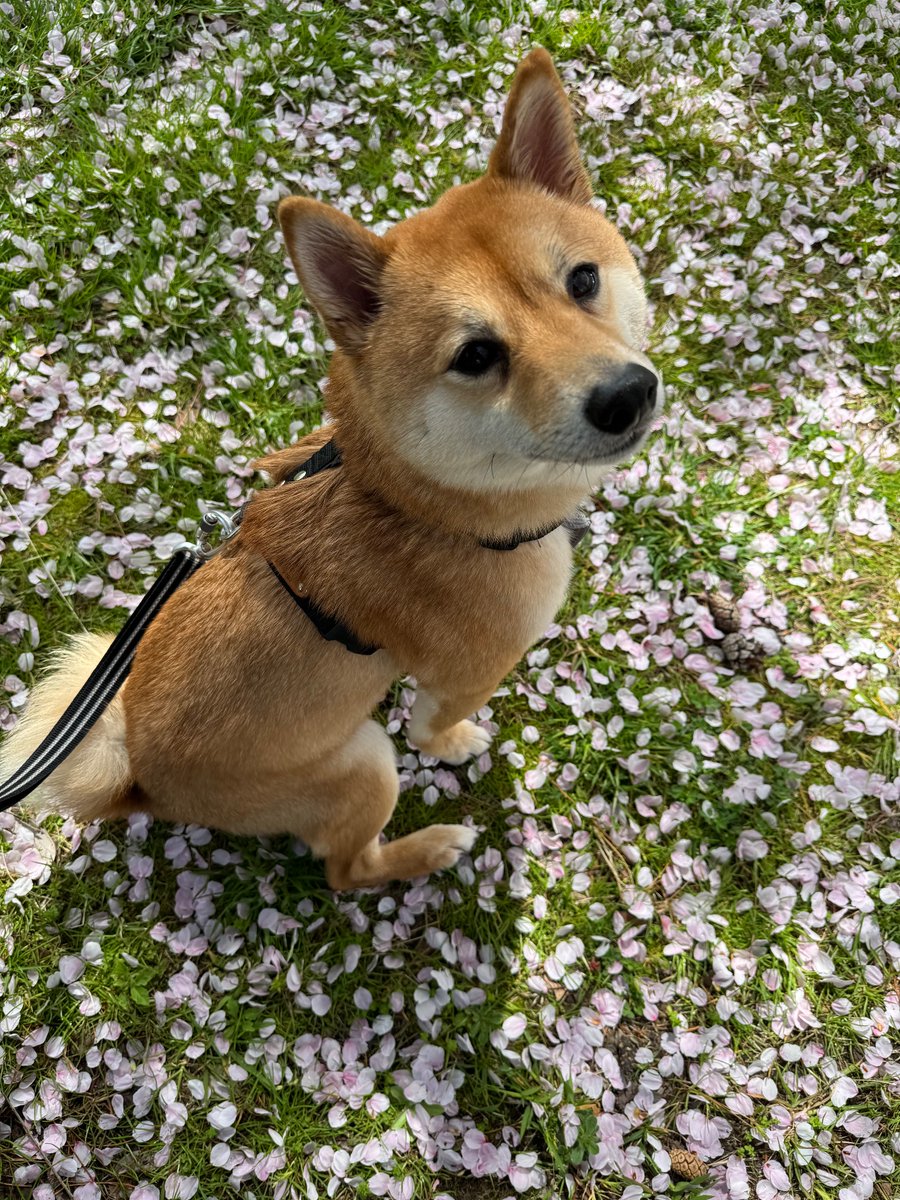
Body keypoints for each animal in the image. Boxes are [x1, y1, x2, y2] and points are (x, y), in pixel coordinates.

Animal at [0, 49, 662, 892]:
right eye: (477, 355)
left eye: (582, 280)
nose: (625, 395)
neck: (415, 504)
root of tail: (143, 783)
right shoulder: (471, 669)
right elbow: (436, 722)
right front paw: (454, 745)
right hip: (363, 764)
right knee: (348, 869)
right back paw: (430, 849)